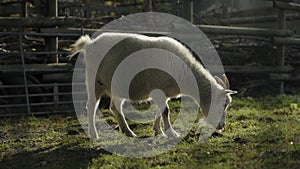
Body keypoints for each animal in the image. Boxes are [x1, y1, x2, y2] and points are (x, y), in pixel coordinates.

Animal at [68, 32, 237, 139]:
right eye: (223, 104)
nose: (222, 126)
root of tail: (90, 44)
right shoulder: (158, 90)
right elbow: (165, 111)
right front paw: (171, 133)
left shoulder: (162, 93)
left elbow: (160, 111)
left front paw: (158, 131)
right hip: (94, 81)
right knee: (91, 106)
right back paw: (94, 134)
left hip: (115, 87)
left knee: (115, 108)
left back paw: (128, 132)